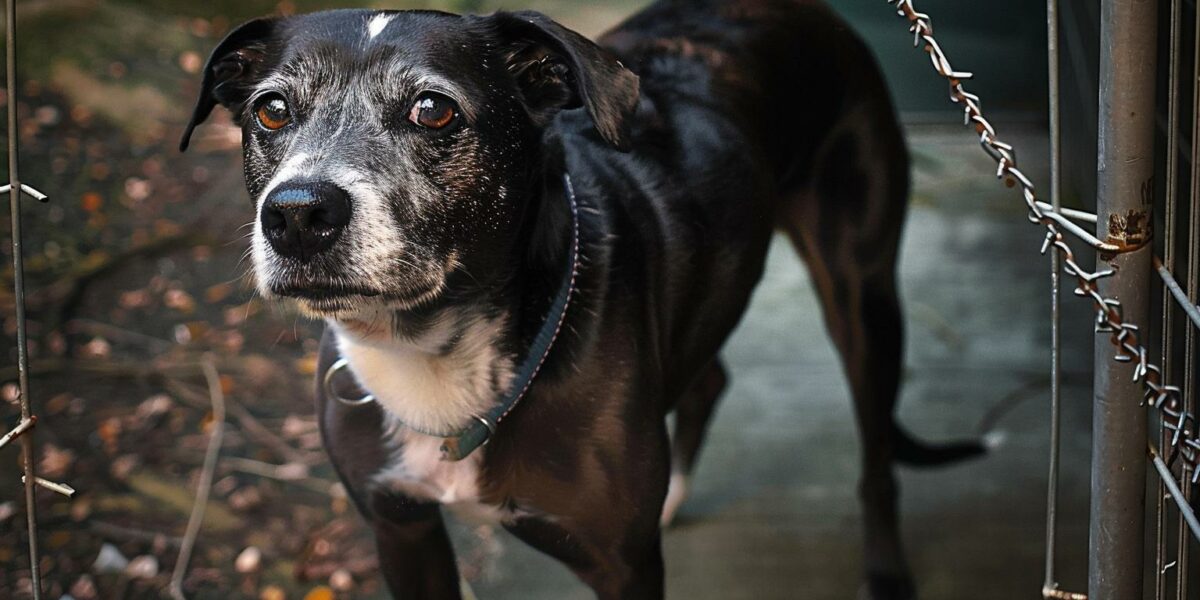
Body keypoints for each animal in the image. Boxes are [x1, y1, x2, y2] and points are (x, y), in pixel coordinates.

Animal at [182, 2, 979, 597]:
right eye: (271, 111)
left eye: (433, 111)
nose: (297, 215)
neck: (437, 356)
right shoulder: (400, 530)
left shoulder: (621, 568)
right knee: (709, 378)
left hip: (864, 296)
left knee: (877, 456)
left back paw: (885, 570)